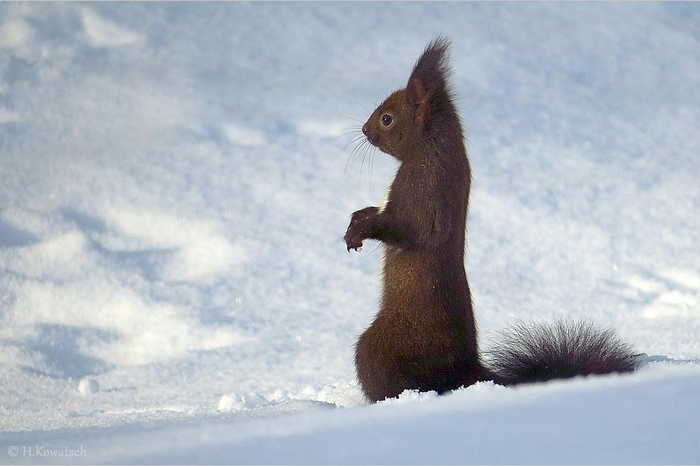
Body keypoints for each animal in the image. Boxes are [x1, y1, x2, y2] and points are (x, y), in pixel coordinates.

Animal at [343, 37, 637, 403]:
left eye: (387, 119)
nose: (364, 130)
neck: (428, 147)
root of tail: (466, 371)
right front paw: (357, 218)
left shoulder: (424, 192)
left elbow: (412, 230)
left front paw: (360, 230)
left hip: (379, 349)